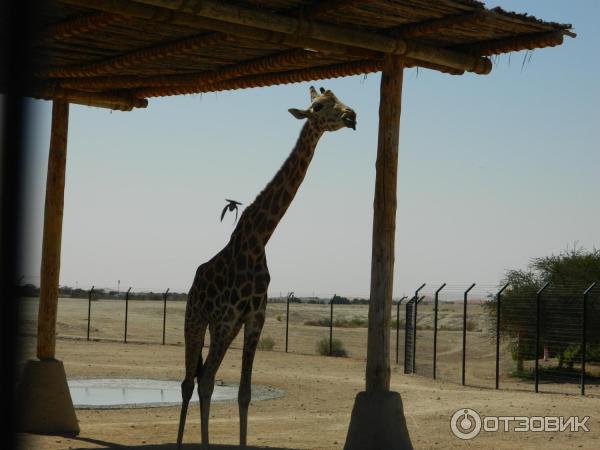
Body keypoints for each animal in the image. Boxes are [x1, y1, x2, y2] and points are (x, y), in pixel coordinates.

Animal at [178, 86, 356, 448]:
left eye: (339, 99)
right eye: (319, 106)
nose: (352, 116)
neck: (258, 238)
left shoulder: (253, 317)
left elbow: (244, 393)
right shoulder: (227, 316)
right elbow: (207, 384)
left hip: (223, 327)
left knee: (203, 376)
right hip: (196, 319)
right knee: (192, 381)